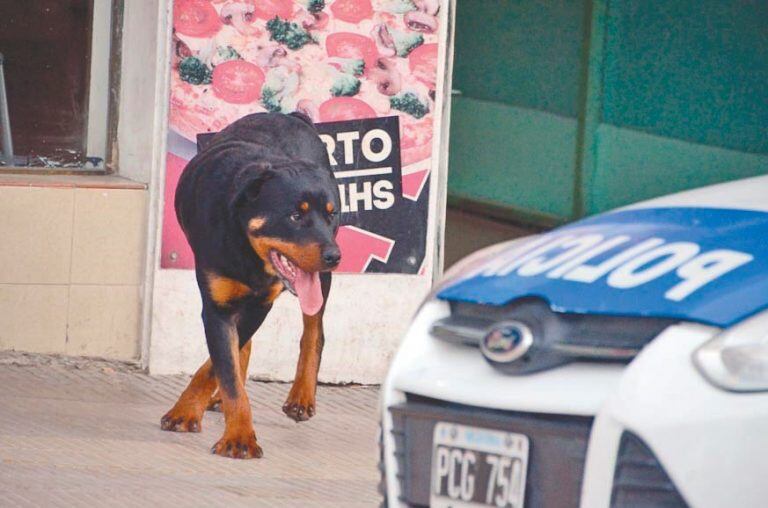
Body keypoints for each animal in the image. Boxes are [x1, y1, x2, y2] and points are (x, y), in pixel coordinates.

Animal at [160, 112, 340, 460]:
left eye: (331, 215)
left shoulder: (261, 303)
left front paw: (200, 415)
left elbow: (216, 367)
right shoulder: (218, 307)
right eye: (295, 216)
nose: (334, 256)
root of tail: (292, 116)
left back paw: (301, 397)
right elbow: (227, 371)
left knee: (314, 331)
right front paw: (234, 432)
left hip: (319, 280)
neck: (244, 241)